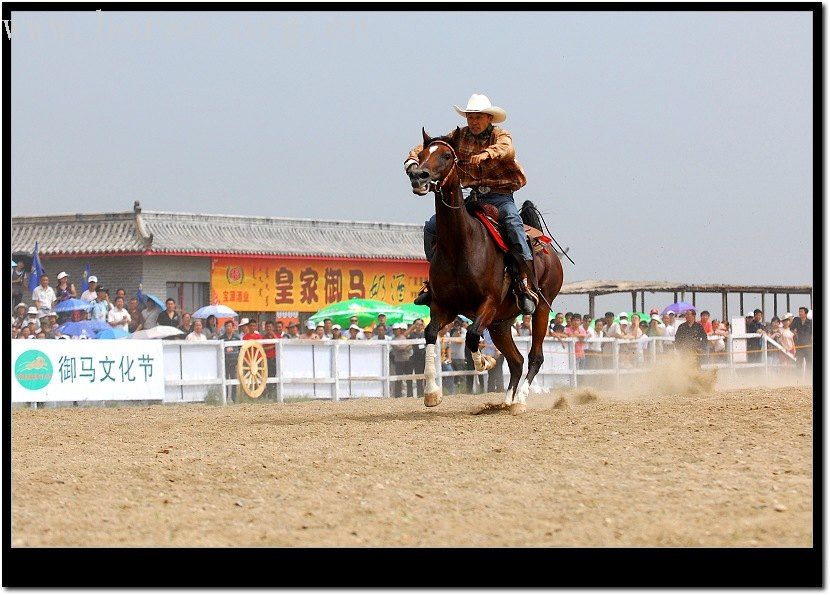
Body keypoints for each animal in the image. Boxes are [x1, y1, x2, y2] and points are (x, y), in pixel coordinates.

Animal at [410, 127, 564, 412]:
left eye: (447, 156)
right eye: (422, 155)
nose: (418, 176)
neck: (461, 246)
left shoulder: (488, 304)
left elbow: (471, 335)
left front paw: (485, 362)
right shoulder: (443, 306)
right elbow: (430, 334)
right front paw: (432, 394)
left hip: (541, 309)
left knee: (535, 356)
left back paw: (520, 401)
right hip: (501, 324)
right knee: (516, 361)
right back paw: (507, 400)